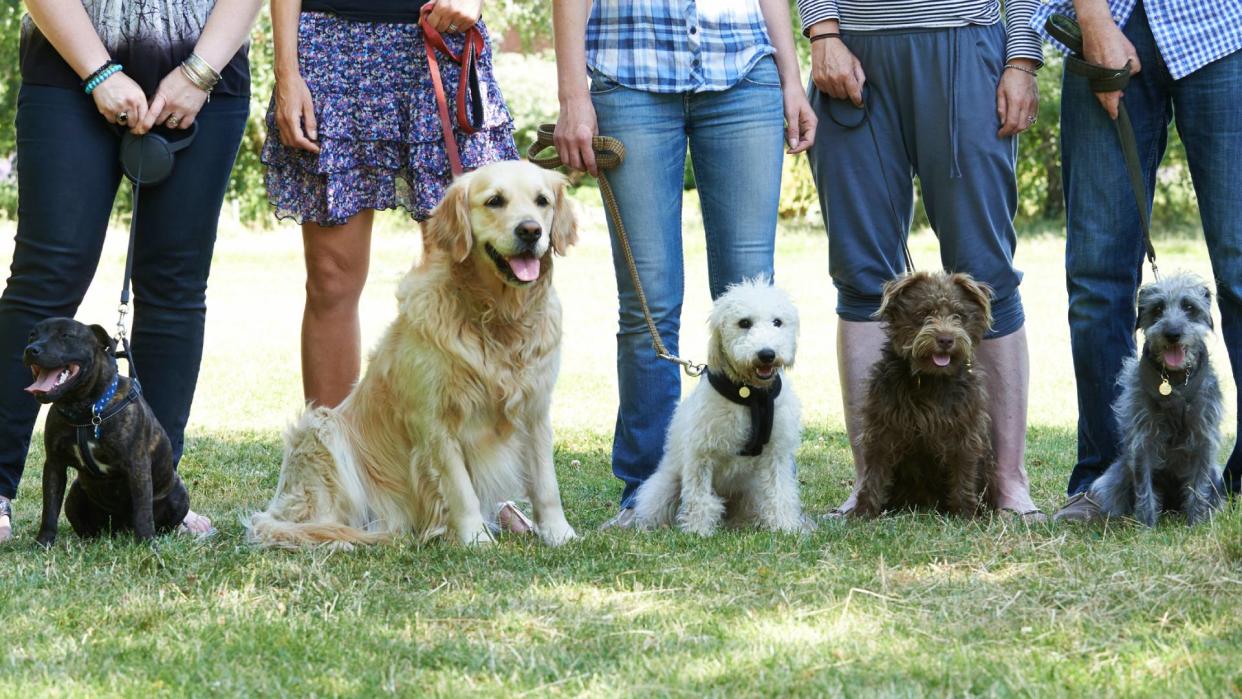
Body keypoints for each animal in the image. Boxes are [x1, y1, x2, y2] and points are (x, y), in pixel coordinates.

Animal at [635, 279, 799, 536]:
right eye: (744, 323)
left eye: (777, 322)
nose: (767, 354)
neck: (750, 395)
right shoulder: (701, 453)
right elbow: (699, 497)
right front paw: (697, 530)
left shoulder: (777, 452)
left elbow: (779, 491)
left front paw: (784, 526)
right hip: (664, 486)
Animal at [854, 270, 998, 516]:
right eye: (923, 313)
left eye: (959, 315)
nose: (946, 339)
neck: (930, 379)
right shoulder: (882, 426)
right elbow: (875, 472)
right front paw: (863, 513)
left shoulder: (965, 430)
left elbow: (963, 471)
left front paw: (966, 514)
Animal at [1087, 271, 1222, 526]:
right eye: (1158, 308)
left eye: (1189, 307)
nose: (1172, 334)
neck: (1176, 381)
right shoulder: (1143, 439)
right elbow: (1144, 486)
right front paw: (1146, 525)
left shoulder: (1203, 437)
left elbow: (1199, 485)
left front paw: (1196, 523)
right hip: (1114, 477)